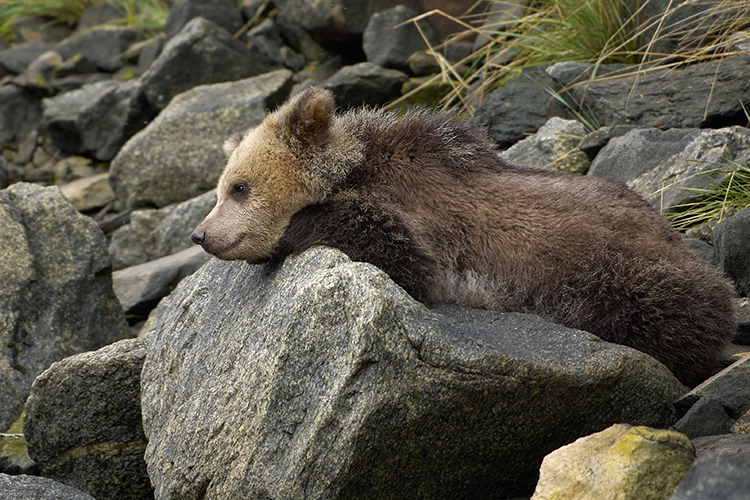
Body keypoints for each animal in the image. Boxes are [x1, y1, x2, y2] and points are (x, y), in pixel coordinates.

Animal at [192, 86, 737, 387]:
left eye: (239, 186)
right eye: (220, 188)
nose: (200, 234)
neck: (353, 171)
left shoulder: (432, 222)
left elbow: (399, 253)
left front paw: (291, 231)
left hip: (617, 269)